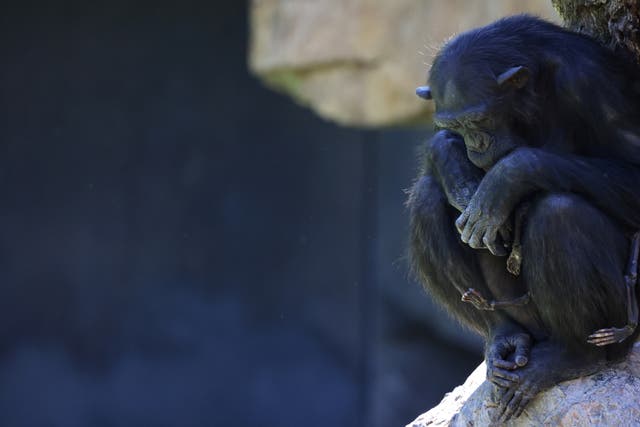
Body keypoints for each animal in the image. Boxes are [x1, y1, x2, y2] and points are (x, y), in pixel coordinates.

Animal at [408, 15, 640, 422]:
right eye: (458, 125)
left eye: (479, 118)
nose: (476, 144)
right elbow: (439, 154)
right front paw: (455, 167)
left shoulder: (592, 83)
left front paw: (508, 176)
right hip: (521, 315)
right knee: (426, 198)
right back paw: (501, 334)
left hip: (621, 323)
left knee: (559, 213)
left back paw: (573, 357)